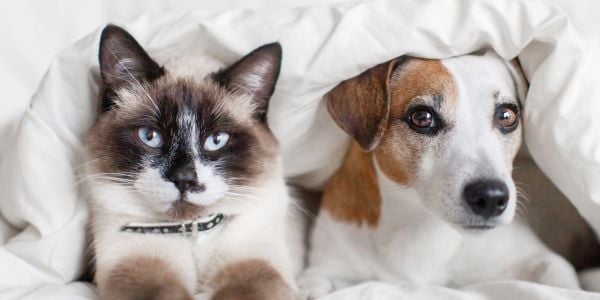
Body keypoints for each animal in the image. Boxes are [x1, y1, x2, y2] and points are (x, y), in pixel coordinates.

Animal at [83, 24, 298, 298]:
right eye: (150, 136)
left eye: (216, 140)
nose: (183, 179)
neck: (191, 229)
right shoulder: (139, 261)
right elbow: (161, 291)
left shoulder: (254, 265)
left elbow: (243, 291)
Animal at [300, 51, 580, 296]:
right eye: (422, 117)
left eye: (506, 115)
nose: (490, 197)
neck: (421, 227)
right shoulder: (331, 259)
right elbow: (315, 280)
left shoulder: (539, 258)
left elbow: (561, 278)